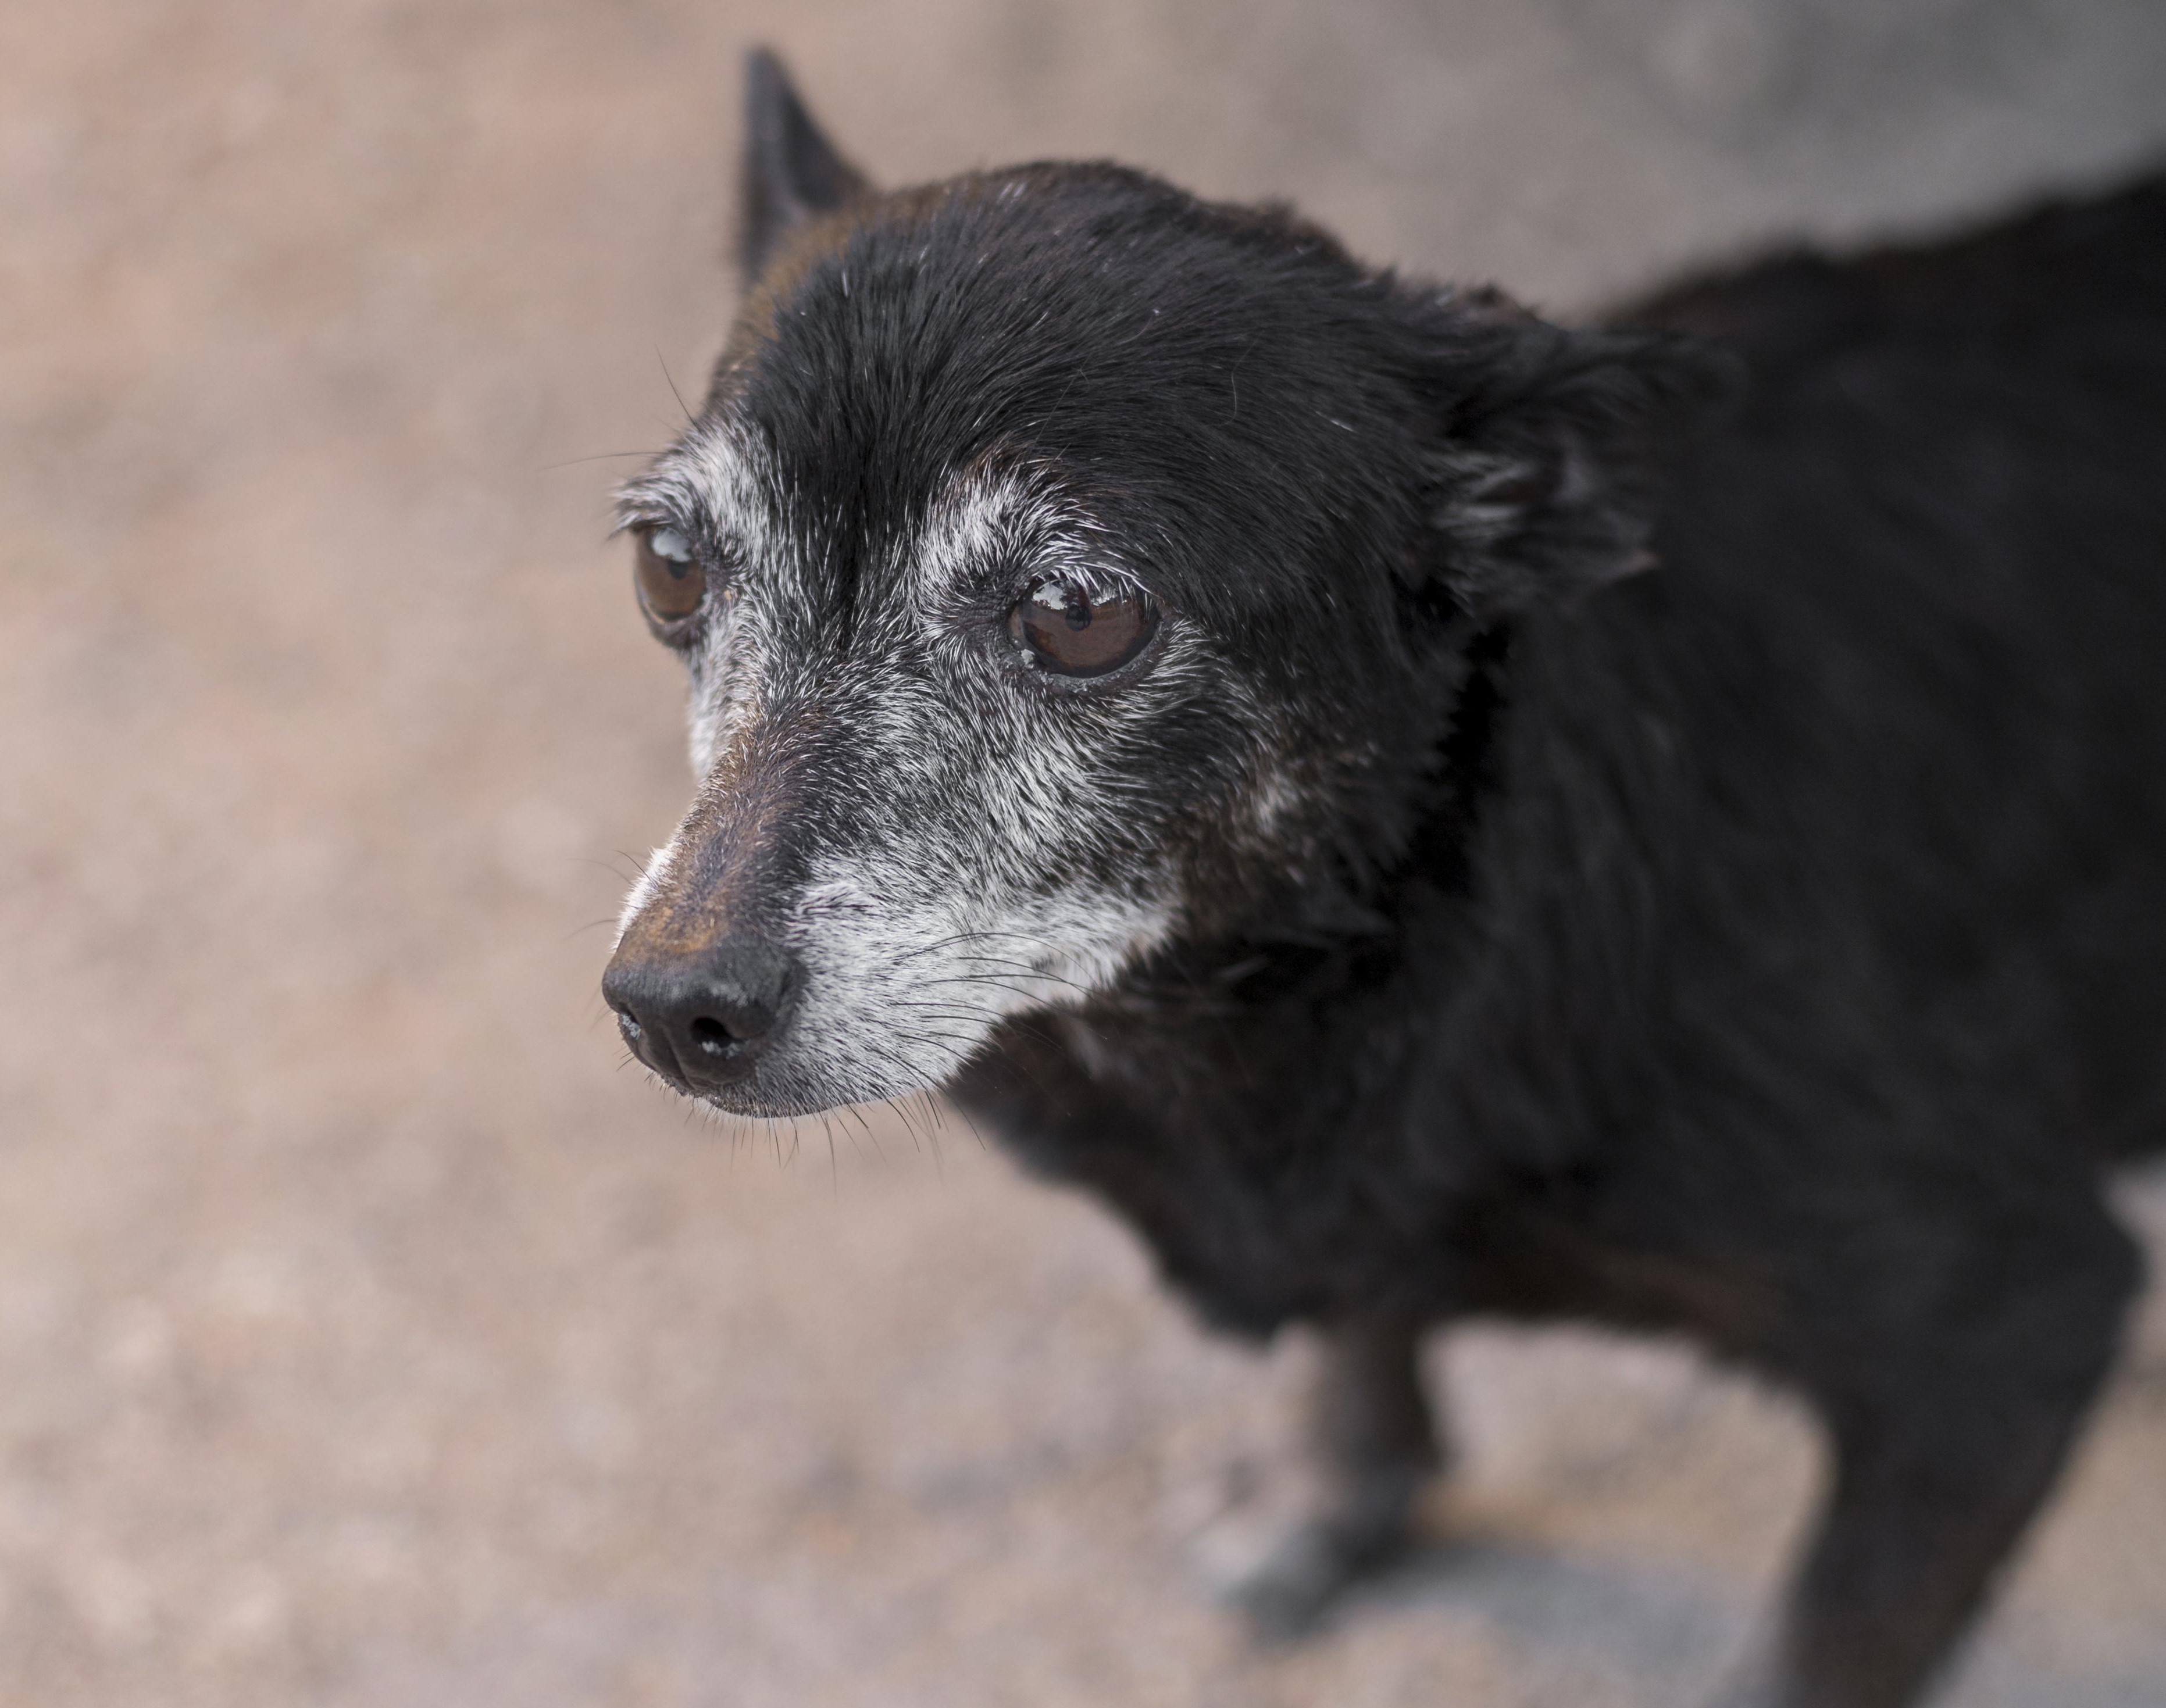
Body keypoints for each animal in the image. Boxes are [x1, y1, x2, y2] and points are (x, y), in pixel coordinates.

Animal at [598, 53, 2166, 1706]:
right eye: (669, 569)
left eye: (1080, 612)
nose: (671, 1000)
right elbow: (1360, 1338)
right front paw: (1341, 1499)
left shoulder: (1998, 1332)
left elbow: (1813, 1653)